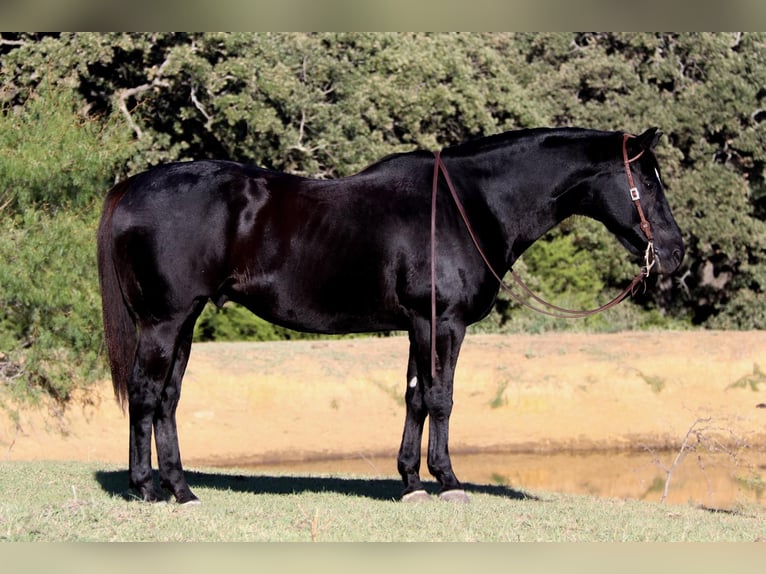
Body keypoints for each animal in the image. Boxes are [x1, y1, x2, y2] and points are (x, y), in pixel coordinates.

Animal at [97, 128, 688, 506]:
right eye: (648, 181)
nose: (676, 251)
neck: (467, 206)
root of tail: (131, 188)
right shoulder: (443, 323)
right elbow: (441, 398)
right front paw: (448, 482)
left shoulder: (418, 326)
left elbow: (414, 398)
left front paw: (411, 483)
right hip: (164, 322)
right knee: (146, 394)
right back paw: (147, 489)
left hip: (185, 322)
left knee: (168, 399)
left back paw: (181, 490)